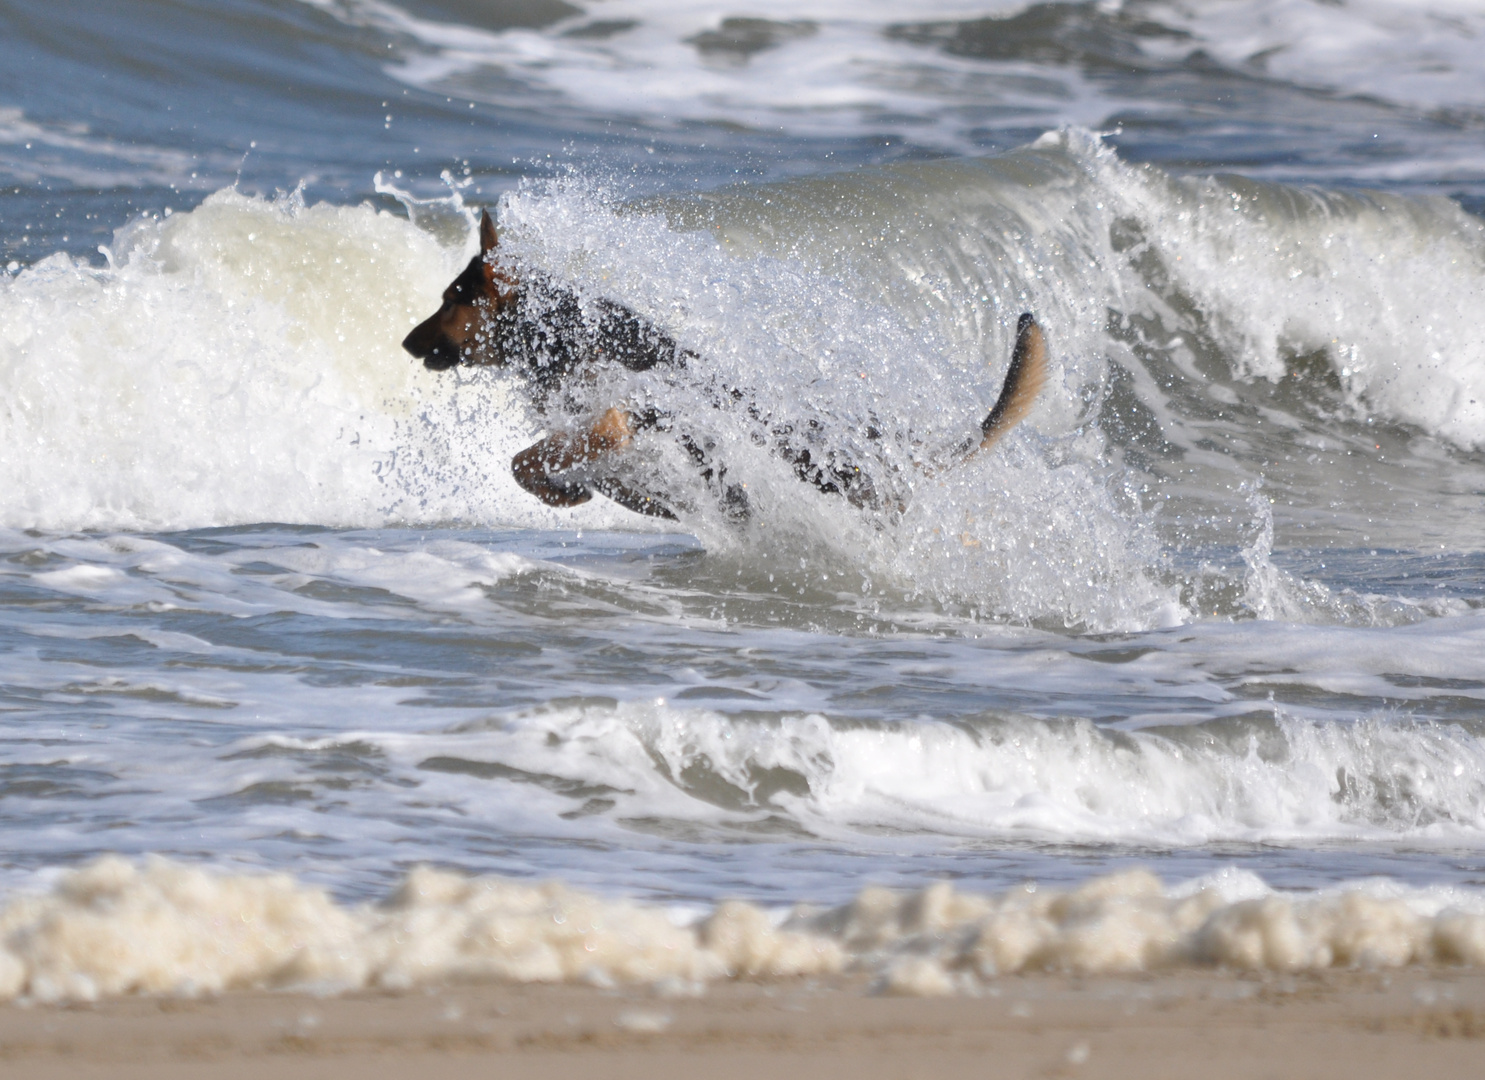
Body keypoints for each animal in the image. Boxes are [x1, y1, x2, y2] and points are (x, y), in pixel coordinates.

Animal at [397, 209, 1045, 519]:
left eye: (450, 300)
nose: (402, 344)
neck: (557, 330)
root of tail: (893, 451)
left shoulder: (613, 418)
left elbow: (523, 461)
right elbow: (579, 474)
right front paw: (588, 497)